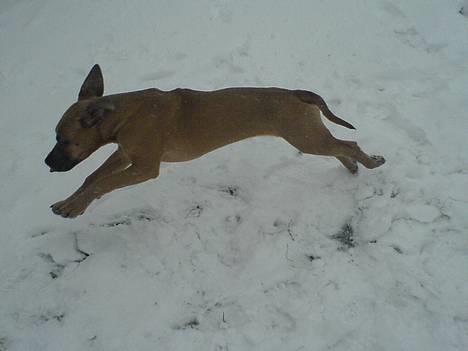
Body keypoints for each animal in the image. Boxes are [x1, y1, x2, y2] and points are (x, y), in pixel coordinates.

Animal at [45, 63, 386, 217]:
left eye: (63, 140)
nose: (46, 163)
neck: (126, 114)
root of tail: (296, 93)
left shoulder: (144, 167)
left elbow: (103, 183)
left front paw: (74, 208)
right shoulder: (125, 153)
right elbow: (92, 178)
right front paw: (69, 201)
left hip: (304, 138)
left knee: (349, 145)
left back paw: (370, 163)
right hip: (310, 136)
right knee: (339, 147)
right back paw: (353, 167)